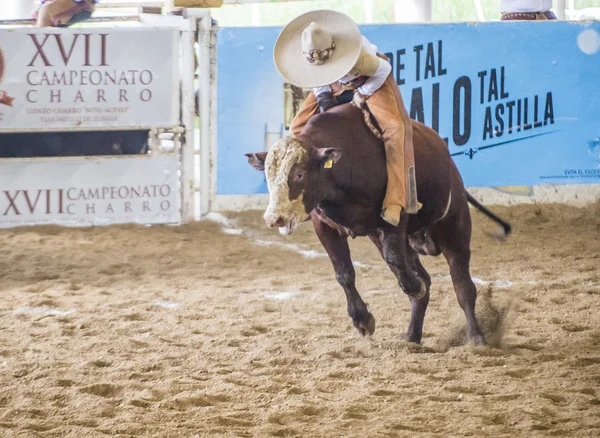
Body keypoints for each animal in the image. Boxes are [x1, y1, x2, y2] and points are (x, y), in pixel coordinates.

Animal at [245, 103, 510, 346]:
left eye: (299, 173)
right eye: (268, 176)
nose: (274, 218)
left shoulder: (393, 218)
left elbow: (398, 263)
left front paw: (414, 287)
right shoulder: (326, 227)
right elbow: (344, 273)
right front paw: (362, 320)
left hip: (454, 227)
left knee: (462, 285)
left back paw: (476, 338)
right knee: (421, 277)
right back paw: (412, 336)